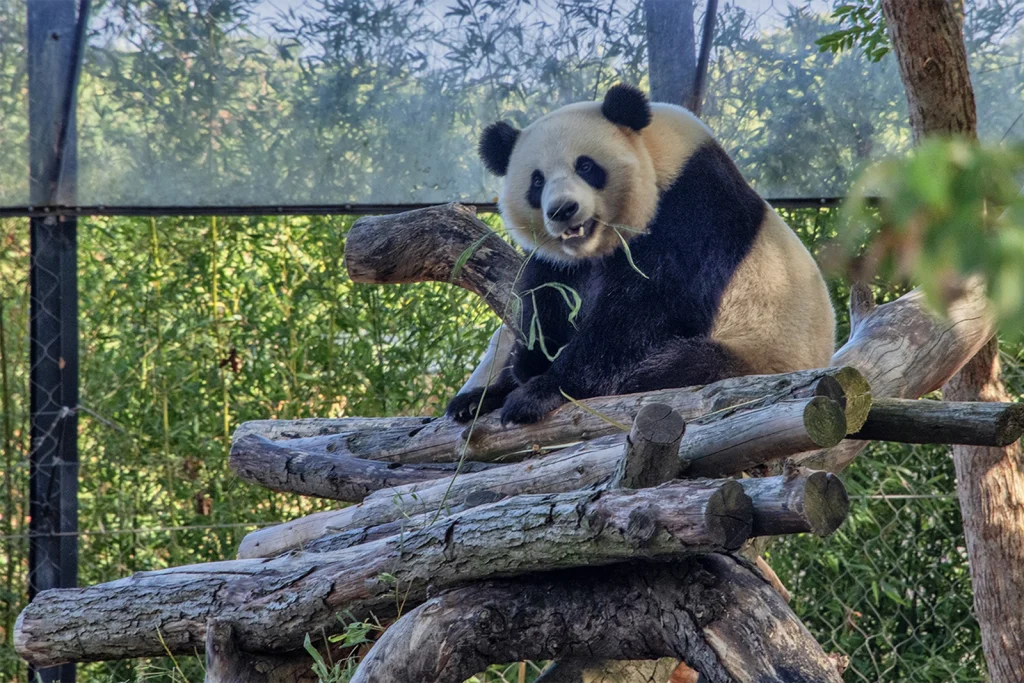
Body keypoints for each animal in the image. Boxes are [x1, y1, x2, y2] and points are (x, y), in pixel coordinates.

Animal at [447, 84, 836, 426]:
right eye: (537, 180)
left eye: (585, 166)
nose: (563, 210)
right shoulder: (562, 262)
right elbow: (548, 298)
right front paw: (516, 374)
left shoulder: (693, 207)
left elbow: (642, 312)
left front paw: (538, 393)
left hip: (758, 350)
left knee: (680, 367)